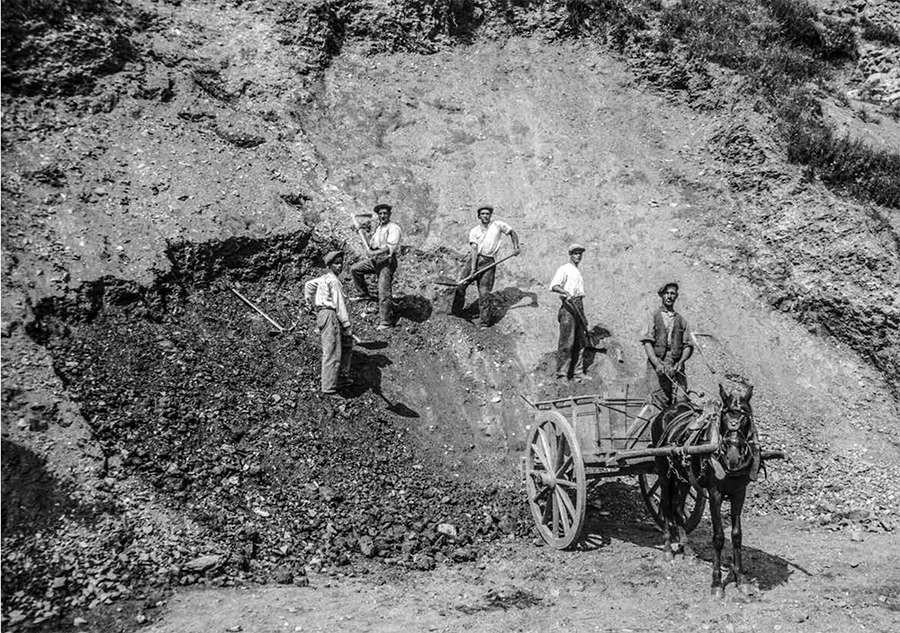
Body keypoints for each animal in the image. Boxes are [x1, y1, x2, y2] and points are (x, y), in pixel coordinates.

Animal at [652, 382, 760, 596]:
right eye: (725, 416)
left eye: (745, 416)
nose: (732, 456)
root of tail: (666, 412)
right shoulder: (715, 493)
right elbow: (718, 537)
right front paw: (717, 582)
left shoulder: (739, 493)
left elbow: (736, 535)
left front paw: (741, 578)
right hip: (664, 473)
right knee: (666, 505)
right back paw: (668, 548)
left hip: (684, 477)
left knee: (677, 505)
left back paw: (687, 549)